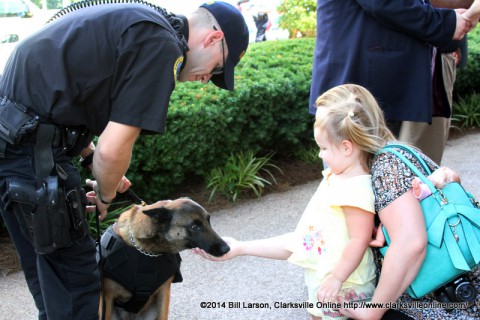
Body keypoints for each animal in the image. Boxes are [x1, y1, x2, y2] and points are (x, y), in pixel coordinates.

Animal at [97, 198, 229, 320]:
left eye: (208, 221)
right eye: (194, 226)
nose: (227, 248)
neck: (147, 251)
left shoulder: (164, 293)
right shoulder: (107, 298)